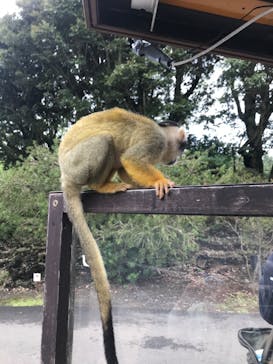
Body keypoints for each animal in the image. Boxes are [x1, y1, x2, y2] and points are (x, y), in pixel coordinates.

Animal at [57, 107, 185, 364]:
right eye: (181, 146)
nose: (176, 159)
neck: (163, 135)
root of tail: (64, 175)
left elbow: (126, 166)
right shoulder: (153, 140)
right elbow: (131, 160)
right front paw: (160, 180)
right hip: (77, 165)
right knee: (105, 140)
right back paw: (101, 185)